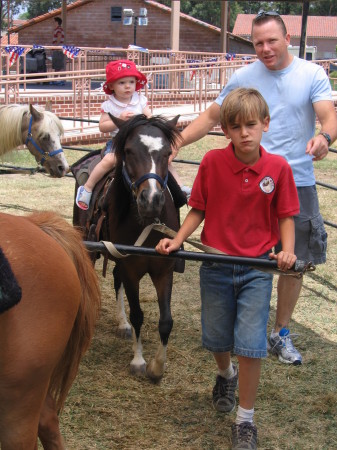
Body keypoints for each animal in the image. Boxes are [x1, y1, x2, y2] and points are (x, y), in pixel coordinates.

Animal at [73, 114, 181, 382]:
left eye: (167, 153)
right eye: (130, 151)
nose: (151, 200)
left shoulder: (164, 271)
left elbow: (166, 320)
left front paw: (157, 367)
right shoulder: (131, 270)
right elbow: (138, 315)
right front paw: (138, 360)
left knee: (115, 278)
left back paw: (121, 325)